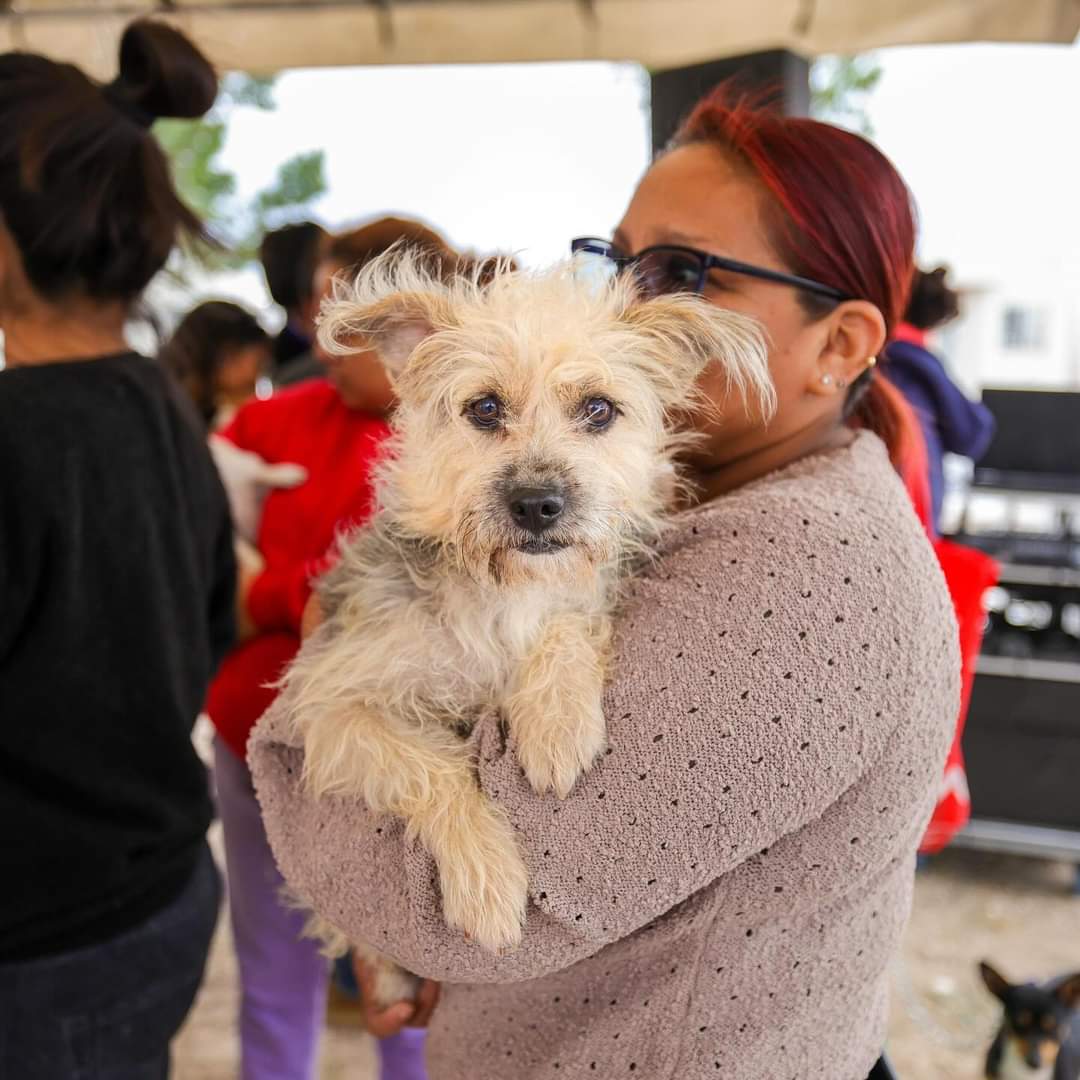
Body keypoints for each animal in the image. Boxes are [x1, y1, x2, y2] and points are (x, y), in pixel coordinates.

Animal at [274, 247, 773, 1002]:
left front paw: (556, 724)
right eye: (484, 408)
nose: (537, 504)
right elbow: (434, 767)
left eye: (598, 409)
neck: (503, 593)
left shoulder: (586, 592)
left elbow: (571, 618)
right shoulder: (331, 704)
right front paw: (486, 882)